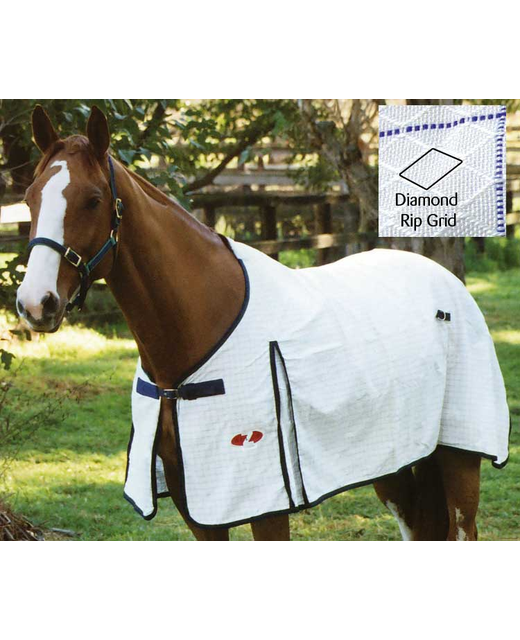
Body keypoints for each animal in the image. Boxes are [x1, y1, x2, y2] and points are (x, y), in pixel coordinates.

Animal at [16, 106, 509, 542]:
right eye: (30, 198)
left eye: (93, 200)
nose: (35, 303)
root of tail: (445, 281)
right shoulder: (198, 506)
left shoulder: (265, 506)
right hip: (392, 458)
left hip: (460, 455)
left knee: (462, 527)